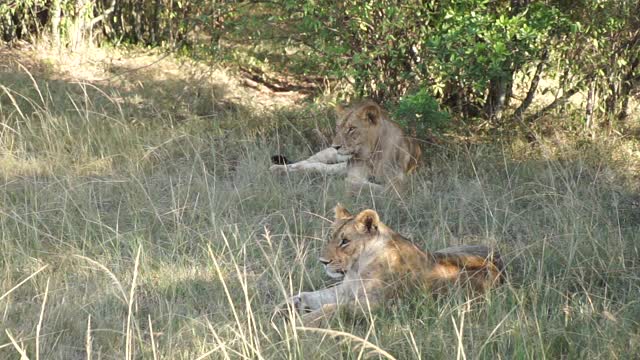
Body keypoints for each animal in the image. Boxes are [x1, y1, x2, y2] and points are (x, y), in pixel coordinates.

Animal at [268, 100, 422, 191]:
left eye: (351, 129)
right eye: (338, 127)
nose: (335, 146)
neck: (371, 154)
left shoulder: (399, 182)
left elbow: (381, 188)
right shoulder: (355, 173)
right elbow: (357, 182)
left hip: (337, 167)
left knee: (317, 167)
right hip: (328, 155)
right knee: (306, 162)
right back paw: (277, 169)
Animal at [278, 202, 504, 326]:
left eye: (345, 241)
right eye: (330, 237)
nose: (323, 262)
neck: (357, 267)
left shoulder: (378, 305)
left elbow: (330, 309)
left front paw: (295, 325)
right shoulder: (343, 290)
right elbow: (308, 295)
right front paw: (282, 308)